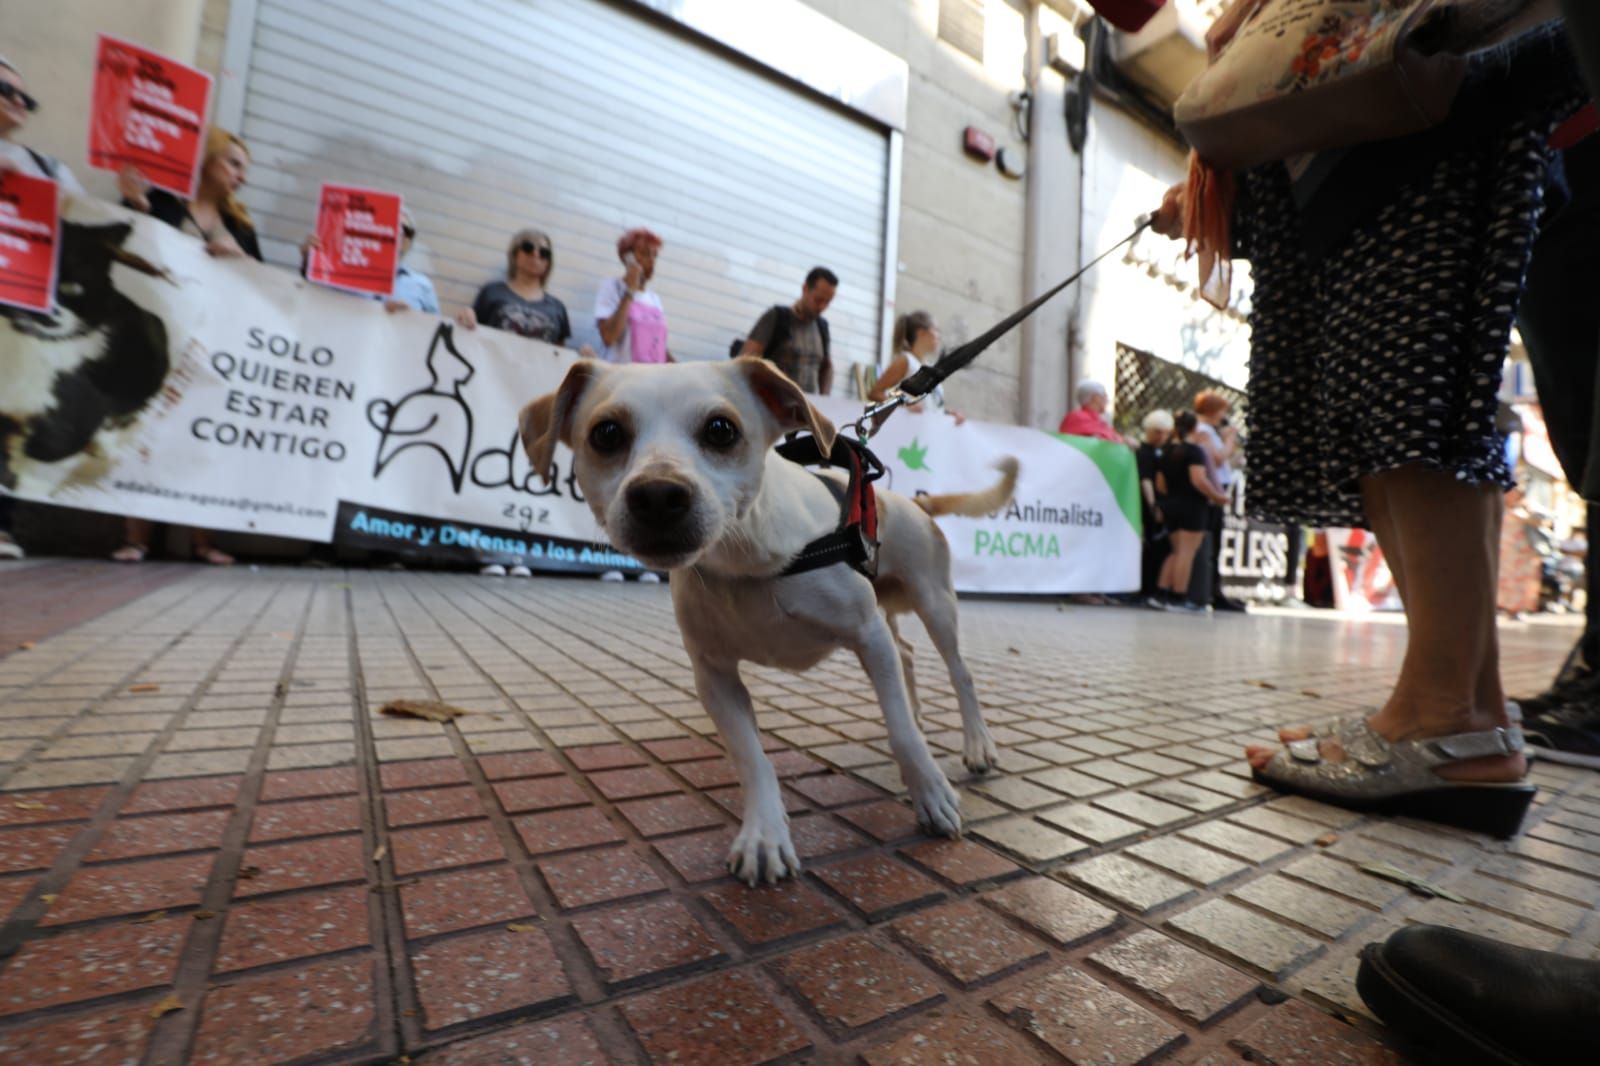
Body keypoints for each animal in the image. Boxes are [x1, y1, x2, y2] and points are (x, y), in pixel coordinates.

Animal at [518, 356, 1017, 877]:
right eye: (607, 434)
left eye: (721, 430)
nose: (657, 495)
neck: (745, 560)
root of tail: (915, 502)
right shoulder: (714, 676)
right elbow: (752, 758)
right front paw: (764, 834)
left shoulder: (867, 634)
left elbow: (899, 731)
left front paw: (930, 793)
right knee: (906, 656)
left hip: (934, 604)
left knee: (958, 674)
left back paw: (976, 743)